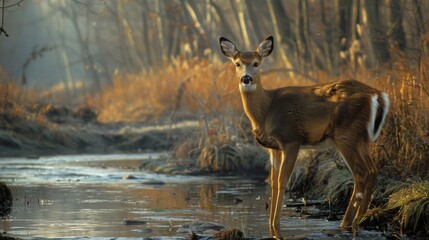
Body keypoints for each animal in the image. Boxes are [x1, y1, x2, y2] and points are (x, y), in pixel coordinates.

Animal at [219, 36, 390, 237]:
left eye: (256, 63)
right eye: (237, 63)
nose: (246, 78)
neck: (266, 111)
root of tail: (378, 95)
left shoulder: (291, 139)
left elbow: (283, 181)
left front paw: (275, 226)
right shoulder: (274, 148)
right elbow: (273, 182)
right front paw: (270, 224)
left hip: (346, 134)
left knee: (361, 173)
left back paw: (349, 222)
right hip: (360, 138)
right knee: (371, 171)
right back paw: (359, 219)